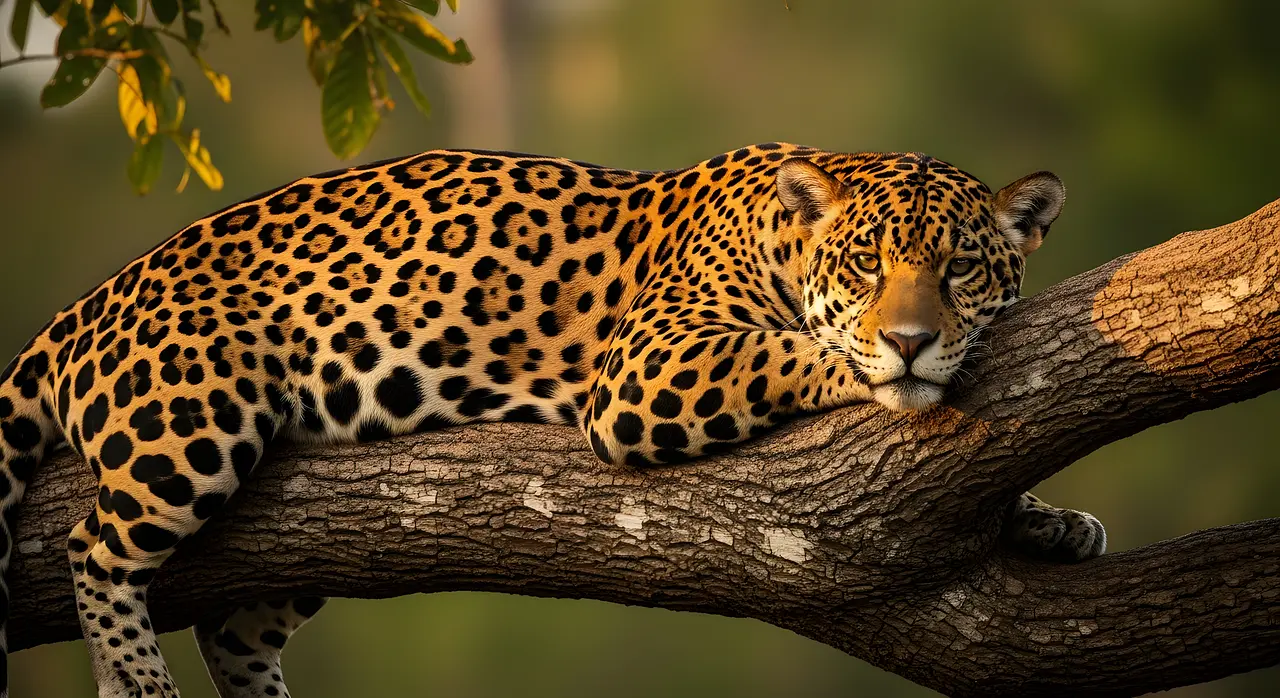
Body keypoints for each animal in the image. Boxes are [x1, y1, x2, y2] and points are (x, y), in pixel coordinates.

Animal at [0, 142, 1106, 697]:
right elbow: (805, 352)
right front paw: (886, 368)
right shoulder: (653, 360)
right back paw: (134, 680)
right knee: (95, 545)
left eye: (959, 268)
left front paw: (1050, 519)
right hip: (195, 419)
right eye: (868, 264)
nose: (913, 337)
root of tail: (77, 310)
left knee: (232, 630)